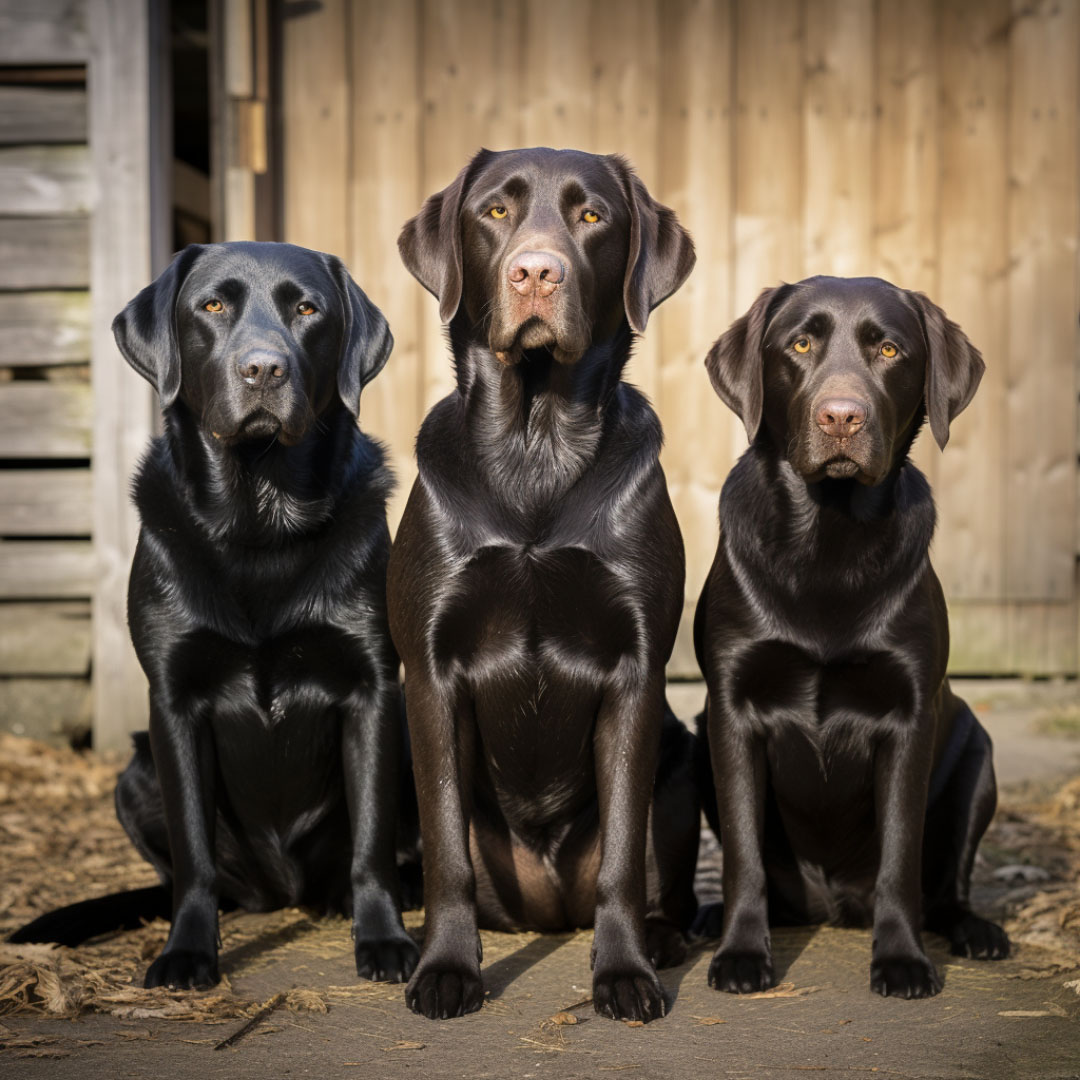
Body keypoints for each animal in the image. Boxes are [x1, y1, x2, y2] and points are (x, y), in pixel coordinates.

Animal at [17, 243, 421, 989]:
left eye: (307, 309)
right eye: (211, 306)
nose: (263, 368)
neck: (259, 516)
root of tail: (281, 893)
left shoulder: (373, 689)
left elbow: (372, 838)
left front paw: (383, 938)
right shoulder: (173, 700)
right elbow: (194, 855)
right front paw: (186, 952)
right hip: (133, 772)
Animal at [388, 150, 699, 1019]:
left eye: (592, 217)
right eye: (495, 212)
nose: (535, 271)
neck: (536, 442)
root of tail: (547, 907)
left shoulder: (635, 671)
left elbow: (624, 851)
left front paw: (624, 974)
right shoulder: (428, 671)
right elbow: (447, 853)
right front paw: (446, 969)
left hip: (682, 759)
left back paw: (661, 940)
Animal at [695, 274, 1006, 997]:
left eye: (889, 349)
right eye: (800, 344)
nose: (842, 417)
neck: (828, 538)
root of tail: (829, 905)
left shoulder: (910, 716)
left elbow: (900, 854)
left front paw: (902, 959)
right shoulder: (729, 710)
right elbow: (743, 851)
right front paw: (741, 953)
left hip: (976, 753)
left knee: (945, 886)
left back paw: (975, 930)